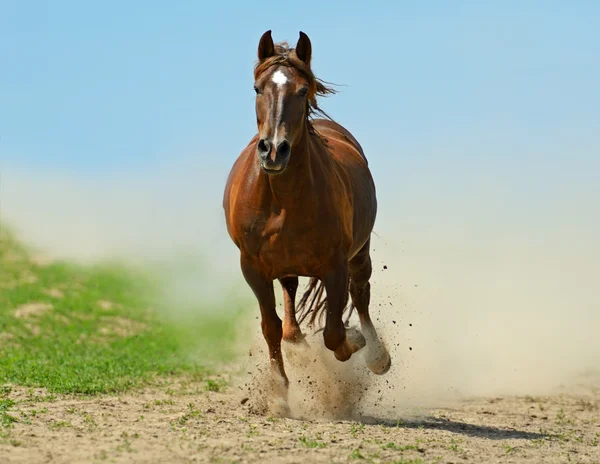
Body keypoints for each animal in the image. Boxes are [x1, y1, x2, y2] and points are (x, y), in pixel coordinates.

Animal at [223, 30, 392, 416]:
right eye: (257, 88)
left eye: (302, 91)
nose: (274, 150)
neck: (283, 199)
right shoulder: (252, 267)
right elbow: (271, 327)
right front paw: (278, 395)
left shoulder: (335, 266)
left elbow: (334, 333)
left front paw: (355, 341)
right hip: (285, 265)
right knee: (289, 302)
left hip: (360, 254)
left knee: (361, 294)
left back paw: (376, 355)